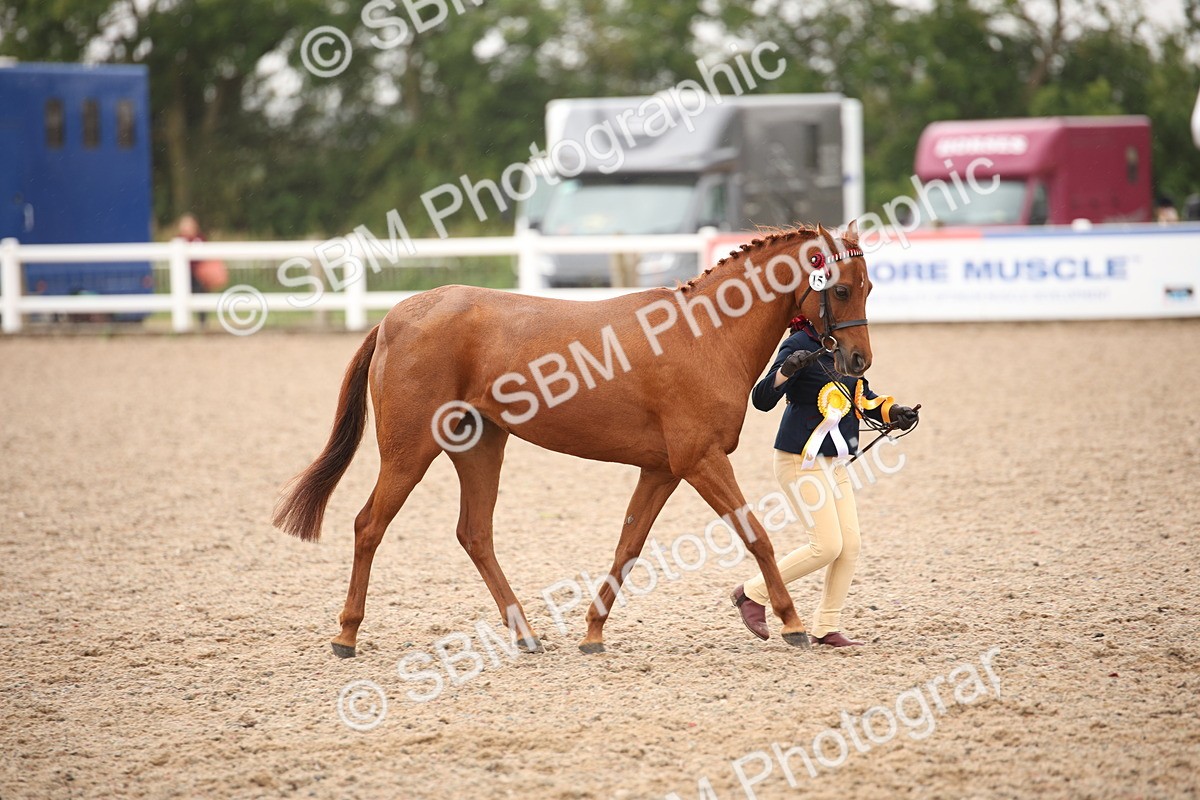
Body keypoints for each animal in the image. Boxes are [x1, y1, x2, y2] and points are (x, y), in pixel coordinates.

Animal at [273, 221, 874, 657]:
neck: (706, 335)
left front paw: (592, 632)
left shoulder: (662, 469)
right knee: (369, 526)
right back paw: (346, 635)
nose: (858, 362)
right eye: (842, 288)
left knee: (475, 534)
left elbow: (627, 547)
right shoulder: (700, 461)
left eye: (868, 287)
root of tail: (396, 317)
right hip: (410, 451)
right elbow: (757, 537)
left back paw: (524, 634)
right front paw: (791, 623)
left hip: (480, 446)